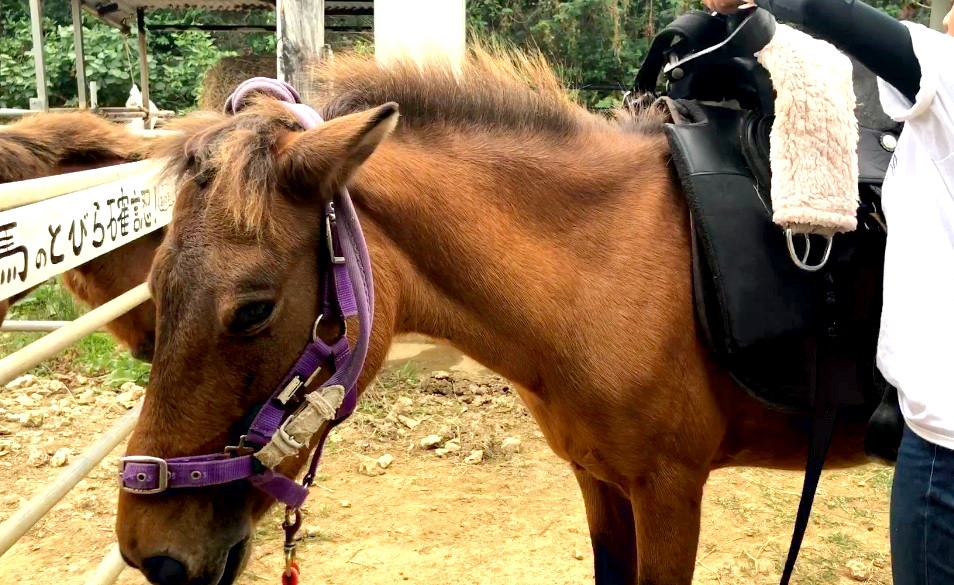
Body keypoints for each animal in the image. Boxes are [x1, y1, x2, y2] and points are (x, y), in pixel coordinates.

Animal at [114, 44, 890, 585]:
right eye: (153, 284)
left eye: (253, 310)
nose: (152, 554)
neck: (606, 260)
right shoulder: (600, 481)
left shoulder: (670, 491)